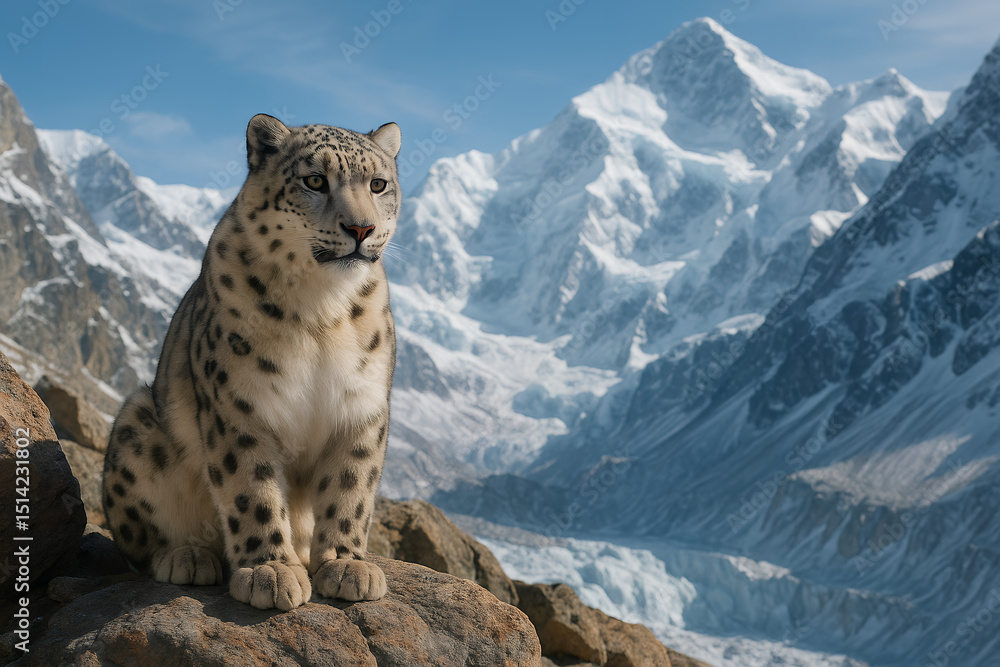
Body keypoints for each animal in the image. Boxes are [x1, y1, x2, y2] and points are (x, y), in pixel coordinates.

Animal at [101, 114, 401, 610]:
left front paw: (346, 565)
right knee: (138, 544)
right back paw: (187, 557)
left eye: (378, 184)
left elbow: (351, 487)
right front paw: (271, 572)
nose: (361, 229)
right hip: (136, 424)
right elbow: (252, 488)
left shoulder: (361, 405)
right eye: (314, 180)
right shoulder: (241, 404)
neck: (323, 309)